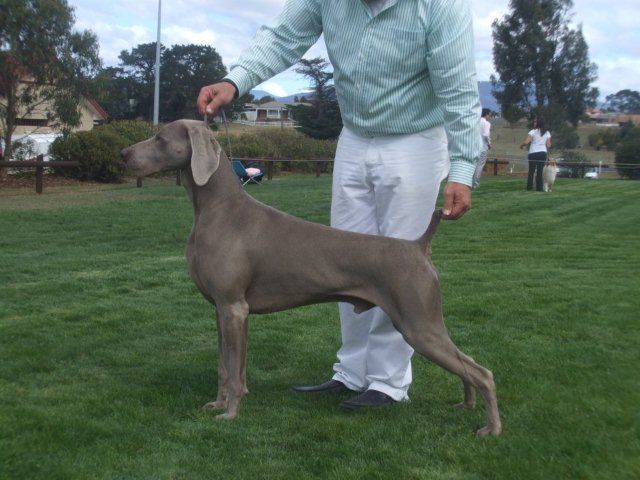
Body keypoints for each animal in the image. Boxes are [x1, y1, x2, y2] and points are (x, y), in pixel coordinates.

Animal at [119, 119, 500, 436]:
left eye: (160, 137)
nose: (123, 154)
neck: (216, 209)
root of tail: (417, 245)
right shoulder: (222, 310)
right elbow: (226, 367)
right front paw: (218, 403)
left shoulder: (233, 307)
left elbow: (234, 368)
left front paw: (230, 414)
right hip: (424, 322)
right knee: (466, 365)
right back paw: (467, 404)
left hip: (418, 322)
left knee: (483, 372)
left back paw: (491, 429)